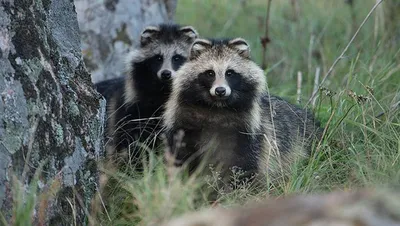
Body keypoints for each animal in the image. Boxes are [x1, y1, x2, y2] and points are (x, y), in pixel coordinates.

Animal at [99, 23, 199, 168]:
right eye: (158, 58)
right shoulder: (133, 106)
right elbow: (131, 139)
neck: (163, 90)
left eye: (177, 58)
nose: (166, 74)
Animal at [162, 37, 322, 185]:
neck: (217, 108)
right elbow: (182, 156)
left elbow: (243, 163)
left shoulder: (248, 130)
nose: (220, 90)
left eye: (230, 73)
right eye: (210, 73)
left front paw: (235, 187)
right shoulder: (184, 122)